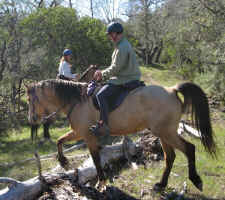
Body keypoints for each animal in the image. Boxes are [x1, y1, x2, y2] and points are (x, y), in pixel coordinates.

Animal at [25, 76, 217, 191]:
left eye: (29, 99)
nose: (31, 119)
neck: (77, 100)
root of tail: (171, 90)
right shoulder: (79, 132)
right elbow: (60, 140)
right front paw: (63, 161)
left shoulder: (86, 135)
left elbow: (95, 159)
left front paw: (101, 183)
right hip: (163, 134)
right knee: (170, 157)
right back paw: (161, 185)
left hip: (166, 132)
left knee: (189, 149)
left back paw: (195, 179)